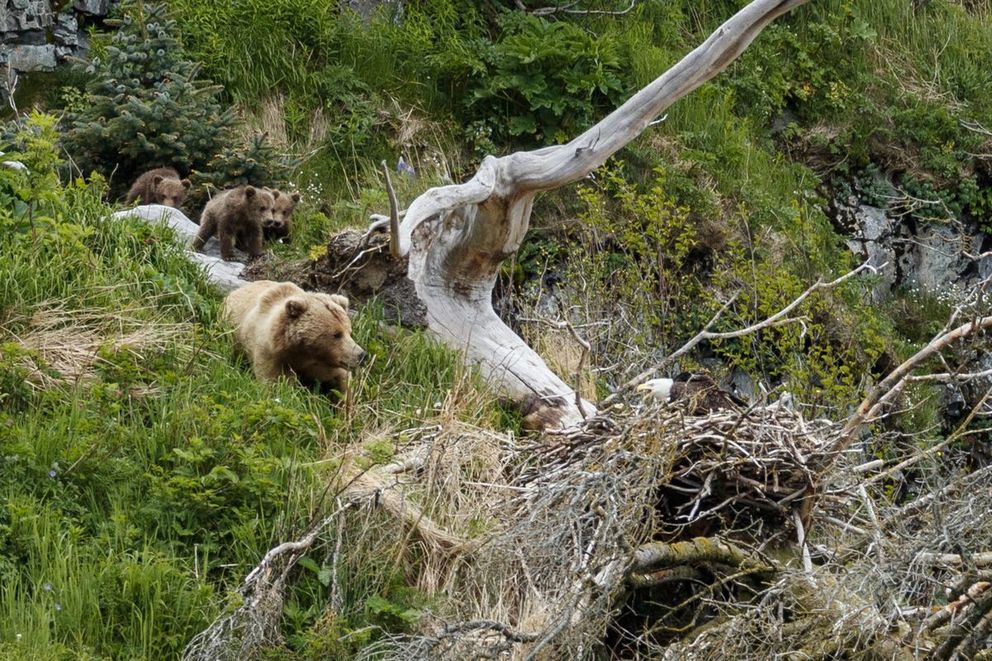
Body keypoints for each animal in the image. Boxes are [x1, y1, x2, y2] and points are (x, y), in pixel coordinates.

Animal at [221, 280, 368, 398]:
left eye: (349, 332)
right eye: (336, 334)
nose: (362, 355)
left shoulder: (329, 365)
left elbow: (343, 385)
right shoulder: (272, 356)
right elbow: (274, 384)